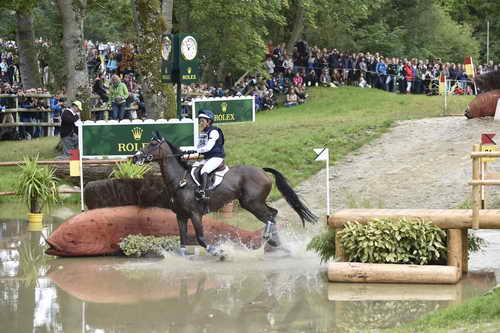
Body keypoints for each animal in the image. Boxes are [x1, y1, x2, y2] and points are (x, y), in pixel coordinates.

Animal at [132, 132, 316, 256]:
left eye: (152, 144)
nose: (135, 157)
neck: (179, 180)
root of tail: (261, 170)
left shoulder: (195, 214)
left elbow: (200, 238)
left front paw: (218, 252)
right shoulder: (181, 216)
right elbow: (182, 241)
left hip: (252, 203)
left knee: (270, 216)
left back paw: (269, 237)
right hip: (252, 203)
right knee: (273, 214)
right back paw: (275, 242)